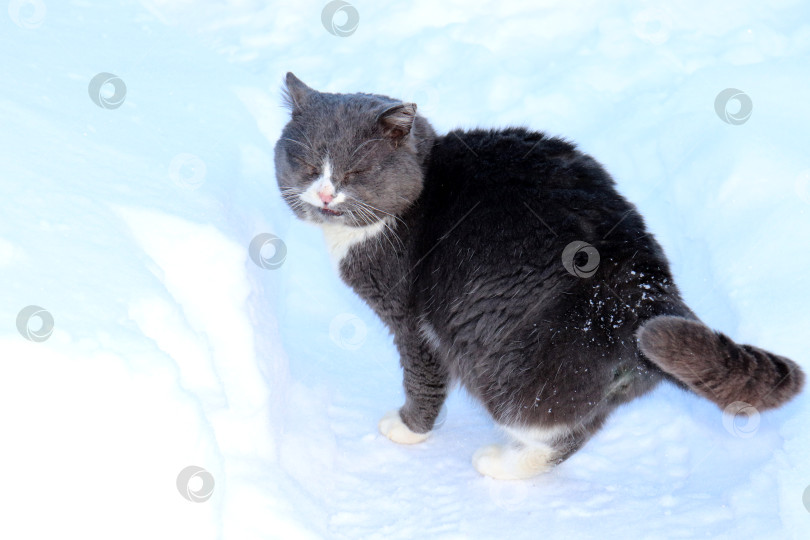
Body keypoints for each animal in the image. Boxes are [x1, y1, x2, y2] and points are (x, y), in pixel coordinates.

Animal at [274, 73, 800, 480]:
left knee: (545, 427)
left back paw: (499, 463)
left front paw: (407, 429)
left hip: (508, 365)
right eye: (306, 164)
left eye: (355, 172)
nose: (325, 194)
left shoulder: (411, 323)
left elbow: (423, 380)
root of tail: (648, 287)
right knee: (581, 427)